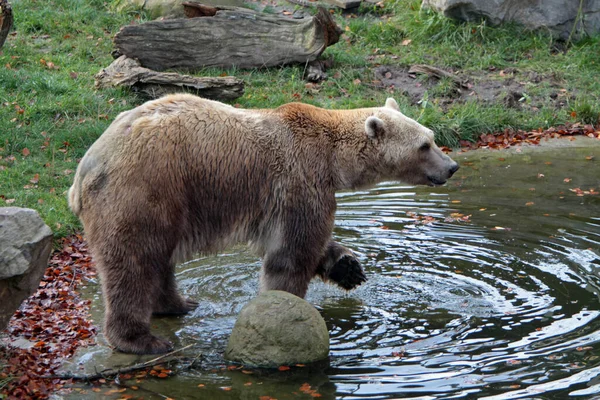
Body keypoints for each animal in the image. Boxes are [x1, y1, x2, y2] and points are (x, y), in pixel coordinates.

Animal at [67, 94, 460, 354]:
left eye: (431, 136)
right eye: (425, 145)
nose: (452, 167)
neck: (333, 158)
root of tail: (86, 168)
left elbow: (299, 242)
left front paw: (348, 267)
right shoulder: (299, 179)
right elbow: (292, 252)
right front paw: (288, 306)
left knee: (158, 257)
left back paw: (180, 304)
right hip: (144, 188)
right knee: (133, 262)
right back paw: (142, 339)